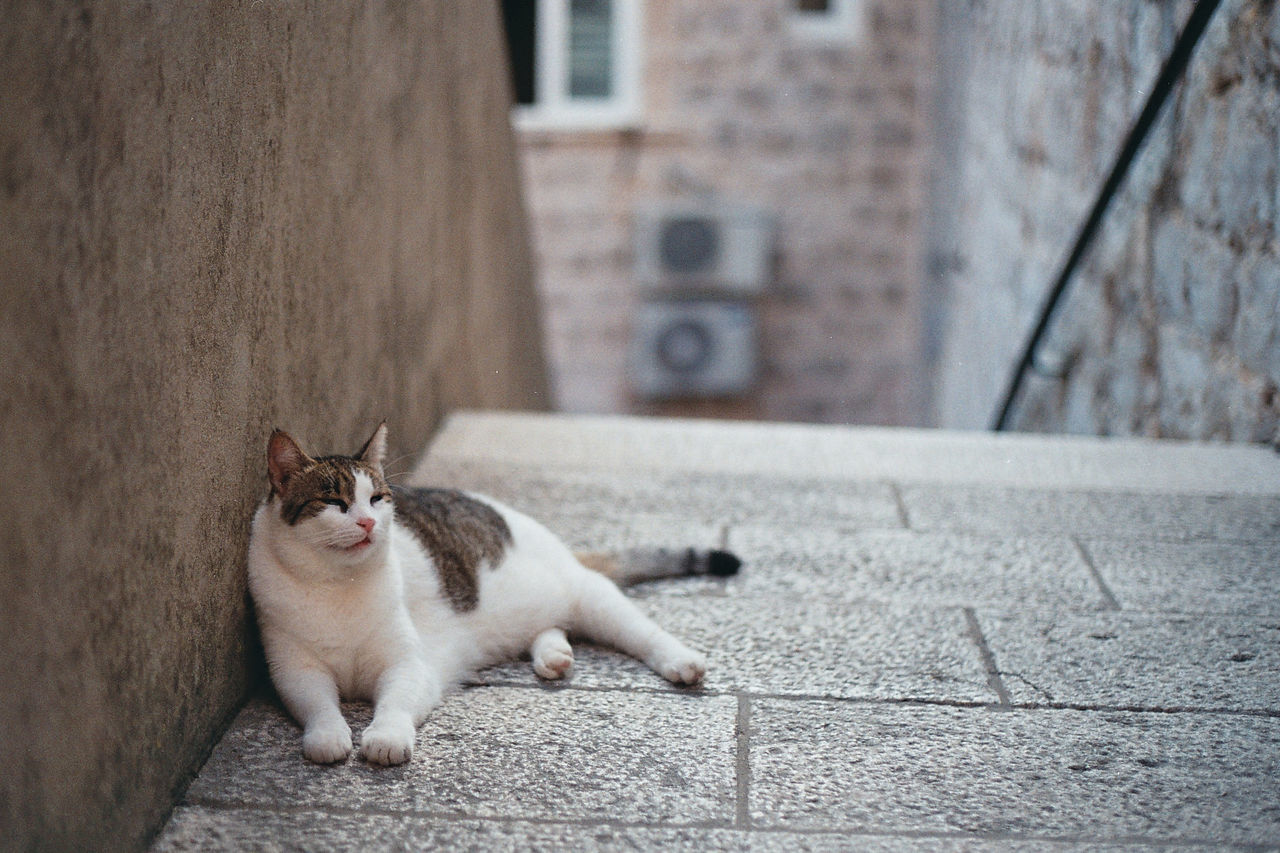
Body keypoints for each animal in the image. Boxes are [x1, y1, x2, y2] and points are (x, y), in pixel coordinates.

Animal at [245, 422, 742, 758]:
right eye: (335, 502)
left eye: (377, 499)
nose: (368, 522)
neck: (337, 585)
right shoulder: (295, 669)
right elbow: (317, 705)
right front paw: (328, 737)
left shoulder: (408, 665)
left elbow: (396, 704)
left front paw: (385, 738)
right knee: (551, 628)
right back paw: (554, 656)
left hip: (591, 598)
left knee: (642, 631)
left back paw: (681, 661)